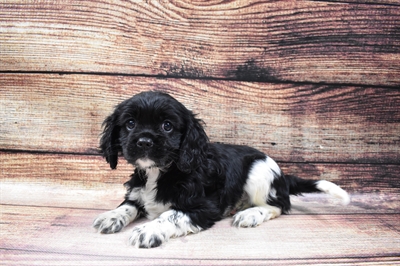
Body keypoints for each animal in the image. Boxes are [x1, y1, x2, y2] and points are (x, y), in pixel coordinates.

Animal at [94, 90, 350, 248]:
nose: (144, 141)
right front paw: (111, 216)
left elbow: (171, 214)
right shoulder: (137, 192)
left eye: (167, 126)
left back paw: (250, 214)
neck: (159, 172)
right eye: (130, 123)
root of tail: (284, 178)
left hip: (259, 172)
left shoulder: (203, 207)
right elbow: (128, 205)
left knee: (279, 206)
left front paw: (148, 230)